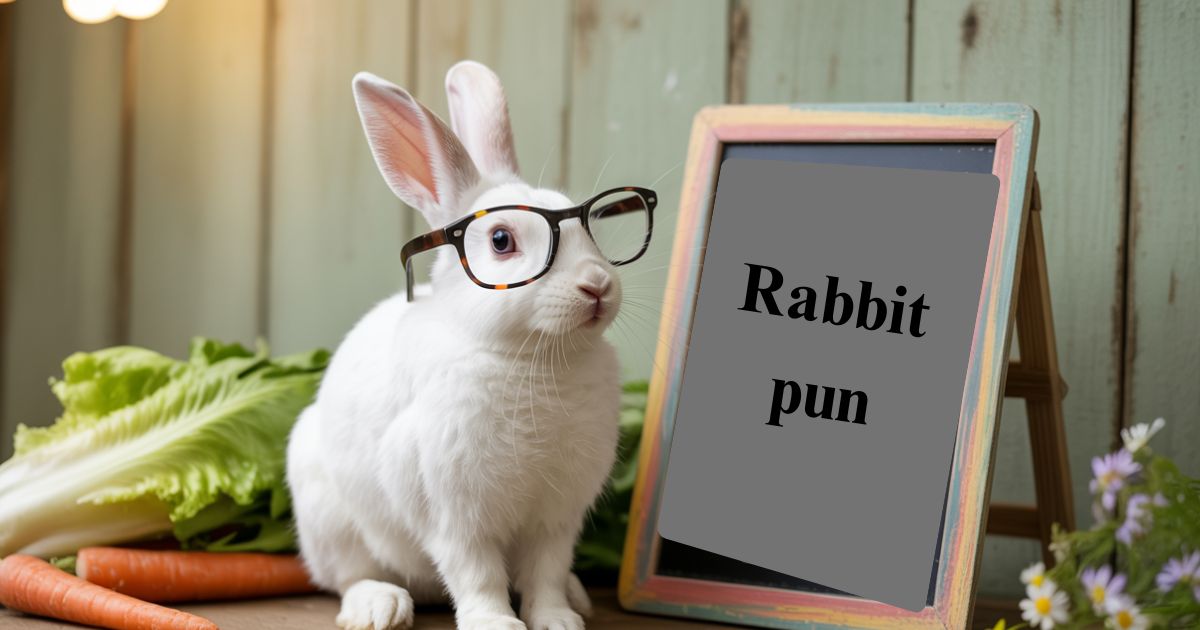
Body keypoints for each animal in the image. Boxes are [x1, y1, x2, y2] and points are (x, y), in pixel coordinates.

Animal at [286, 60, 629, 630]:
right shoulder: (454, 513)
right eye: (501, 241)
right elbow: (477, 573)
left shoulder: (556, 517)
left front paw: (557, 620)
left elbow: (546, 572)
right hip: (328, 518)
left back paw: (578, 596)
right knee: (349, 576)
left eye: (593, 234)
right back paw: (379, 607)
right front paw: (497, 624)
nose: (597, 286)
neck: (533, 360)